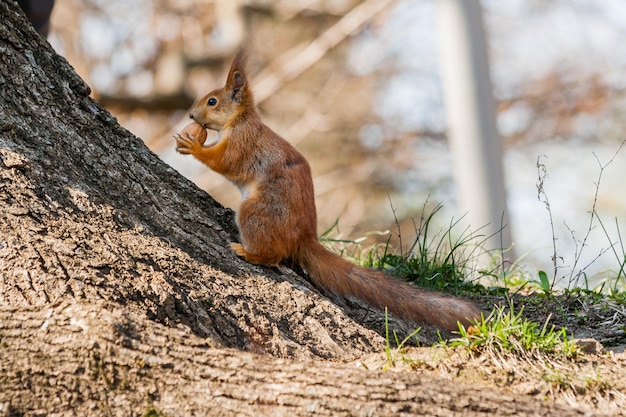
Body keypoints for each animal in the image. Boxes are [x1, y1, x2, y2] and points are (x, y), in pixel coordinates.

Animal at [173, 52, 480, 330]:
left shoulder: (243, 142)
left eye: (213, 101)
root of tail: (304, 237)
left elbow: (225, 162)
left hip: (257, 213)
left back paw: (249, 253)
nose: (190, 115)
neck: (240, 120)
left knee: (272, 256)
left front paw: (194, 147)